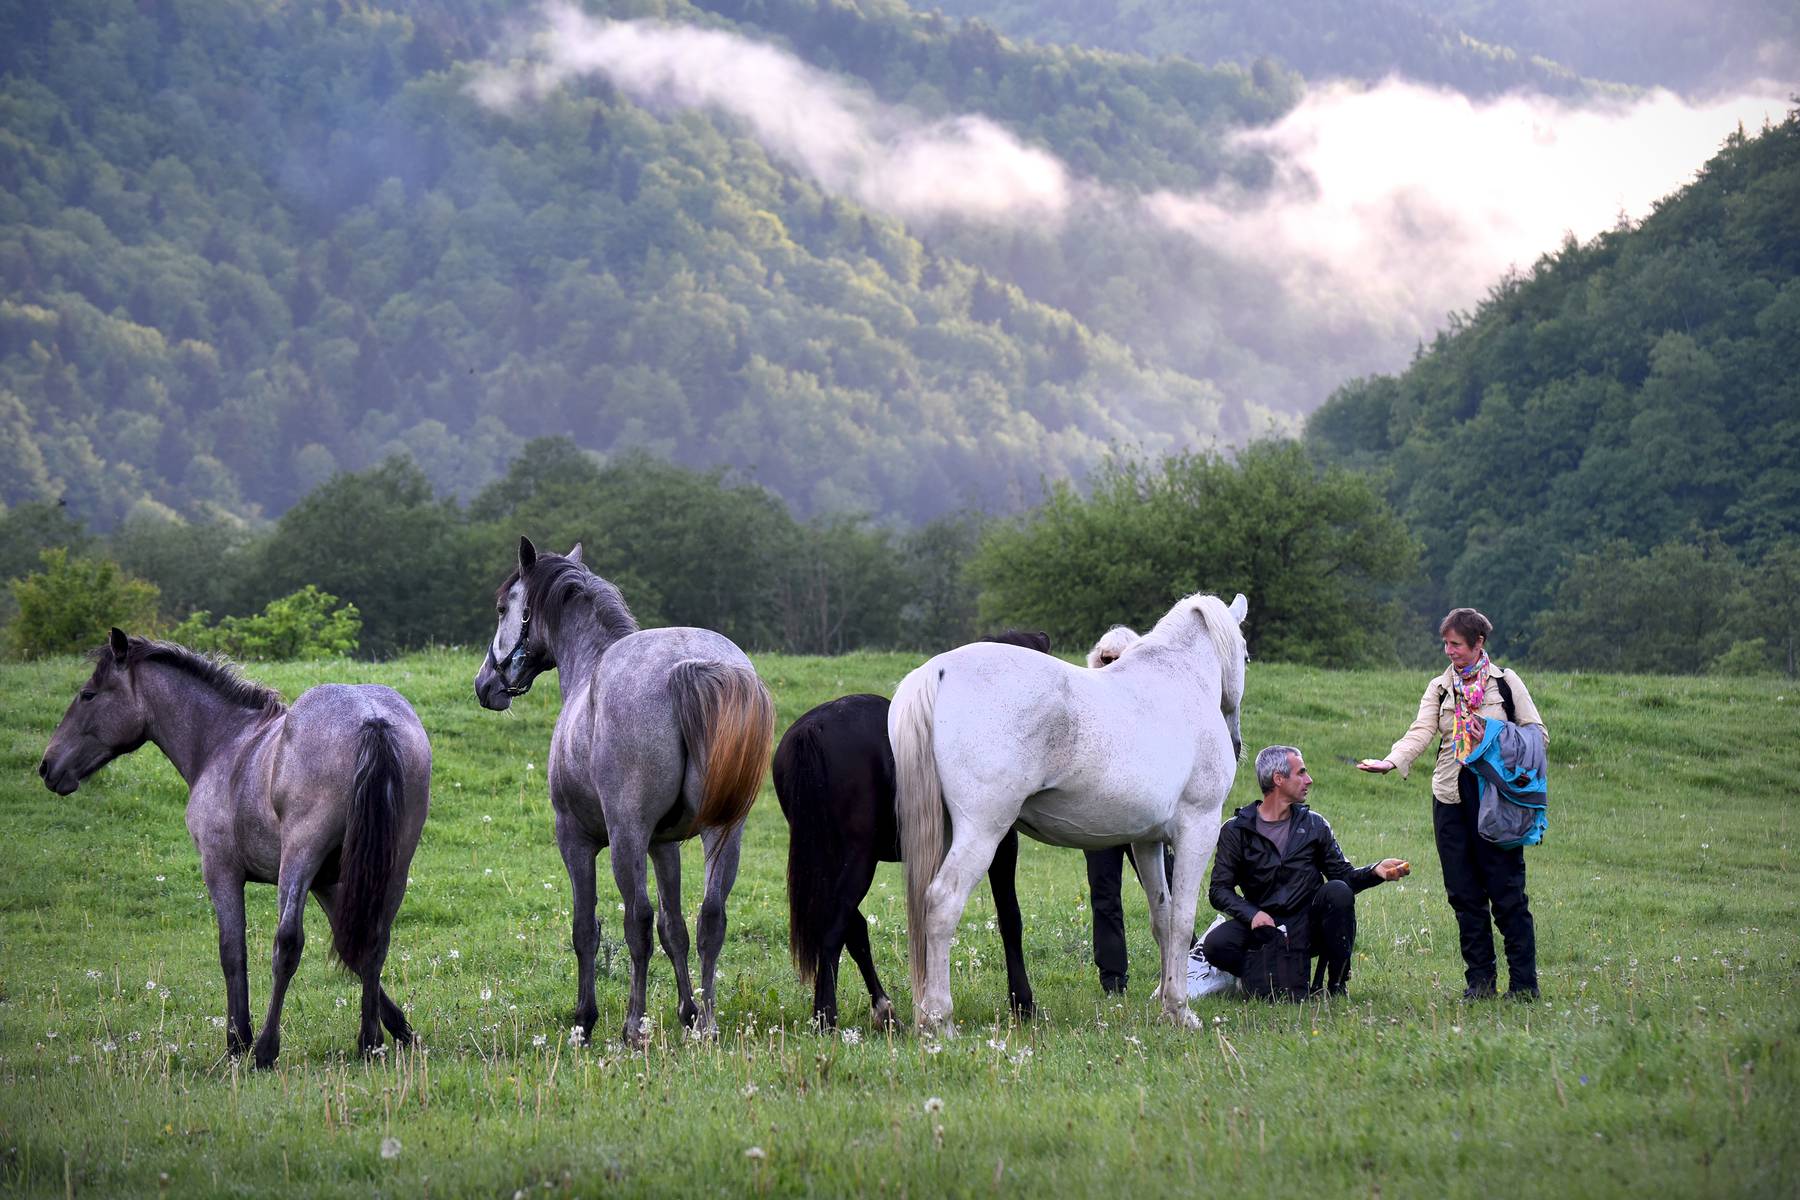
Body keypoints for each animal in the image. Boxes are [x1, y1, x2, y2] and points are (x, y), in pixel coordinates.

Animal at [38, 633, 432, 1065]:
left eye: (88, 695)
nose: (47, 767)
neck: (225, 744)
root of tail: (371, 718)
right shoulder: (330, 882)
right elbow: (353, 948)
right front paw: (399, 1029)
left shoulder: (221, 869)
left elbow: (233, 951)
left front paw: (237, 1040)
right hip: (391, 866)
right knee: (375, 941)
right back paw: (369, 1042)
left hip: (299, 858)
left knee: (287, 944)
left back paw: (265, 1049)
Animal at [471, 539, 774, 1043]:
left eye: (502, 609)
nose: (486, 684)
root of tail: (689, 664)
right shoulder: (663, 845)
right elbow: (676, 929)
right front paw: (687, 1010)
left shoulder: (575, 840)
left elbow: (587, 929)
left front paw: (584, 1018)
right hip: (723, 832)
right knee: (710, 917)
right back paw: (707, 1024)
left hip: (625, 837)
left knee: (638, 921)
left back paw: (634, 1025)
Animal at [777, 629, 1051, 1036]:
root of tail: (814, 729)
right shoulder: (1000, 844)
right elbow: (1010, 918)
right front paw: (1023, 1002)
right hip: (857, 858)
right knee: (836, 926)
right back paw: (826, 1016)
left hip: (829, 858)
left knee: (853, 928)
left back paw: (883, 1009)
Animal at [889, 593, 1252, 1036]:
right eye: (1246, 656)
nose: (1237, 745)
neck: (1178, 679)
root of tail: (938, 671)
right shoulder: (1199, 830)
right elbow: (1183, 921)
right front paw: (1182, 1011)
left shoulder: (1146, 841)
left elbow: (1162, 918)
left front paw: (1167, 1003)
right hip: (982, 833)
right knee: (942, 904)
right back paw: (940, 1020)